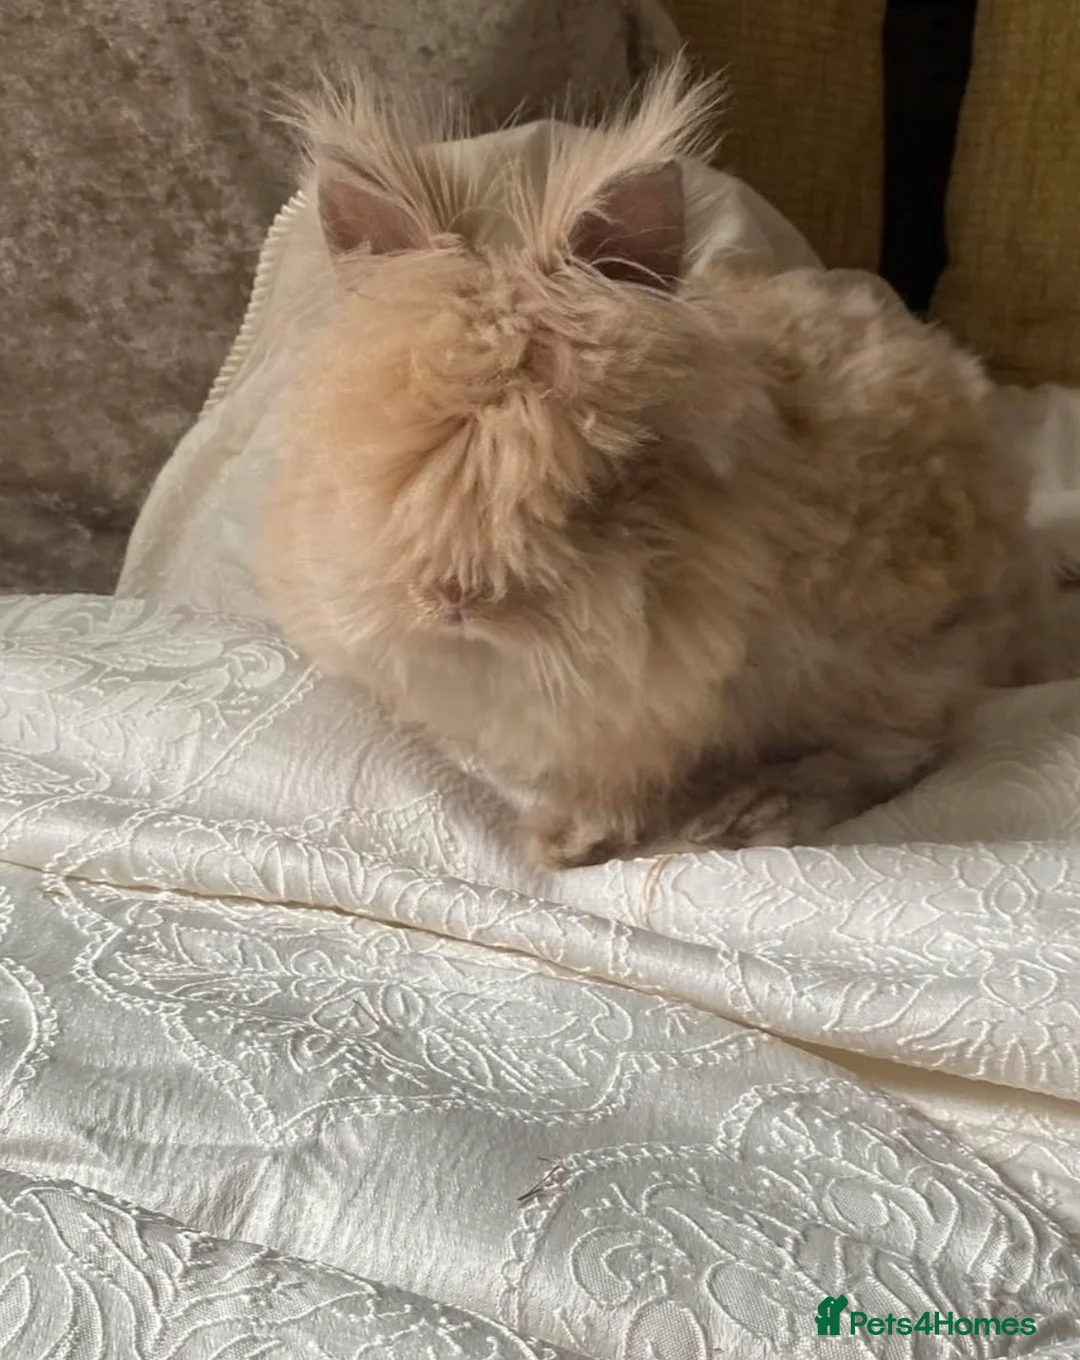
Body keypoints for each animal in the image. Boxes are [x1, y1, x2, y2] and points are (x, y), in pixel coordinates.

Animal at [259, 62, 1051, 869]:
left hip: (901, 665)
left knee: (891, 752)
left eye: (593, 483)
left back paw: (749, 815)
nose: (458, 603)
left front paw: (561, 843)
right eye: (389, 466)